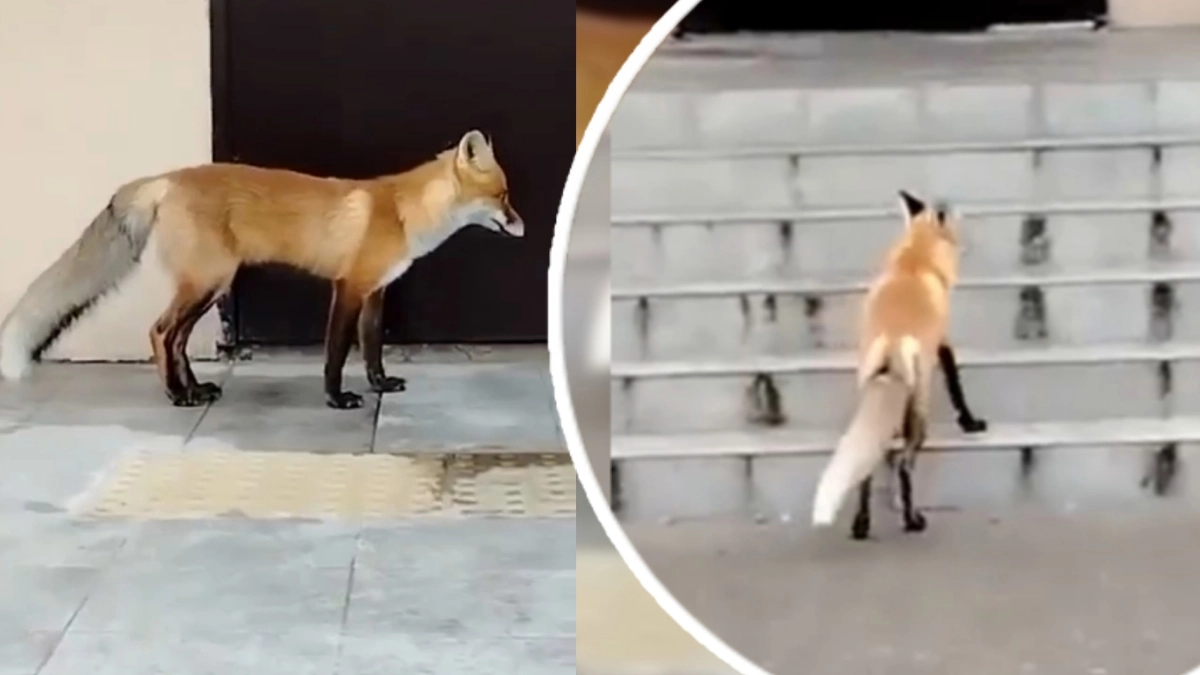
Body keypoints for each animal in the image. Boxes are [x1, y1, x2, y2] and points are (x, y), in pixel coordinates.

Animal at [0, 129, 524, 410]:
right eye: (502, 196)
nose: (522, 226)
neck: (400, 213)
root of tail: (166, 179)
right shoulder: (349, 287)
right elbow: (336, 353)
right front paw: (337, 399)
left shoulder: (376, 291)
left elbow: (373, 349)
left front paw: (379, 386)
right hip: (206, 282)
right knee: (159, 332)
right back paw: (175, 395)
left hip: (213, 286)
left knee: (176, 340)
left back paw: (195, 390)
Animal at [811, 190, 988, 540]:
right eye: (956, 226)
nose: (968, 245)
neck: (913, 261)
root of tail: (892, 343)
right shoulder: (943, 343)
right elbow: (956, 388)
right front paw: (970, 423)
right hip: (918, 413)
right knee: (905, 467)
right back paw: (912, 520)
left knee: (866, 471)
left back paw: (861, 524)